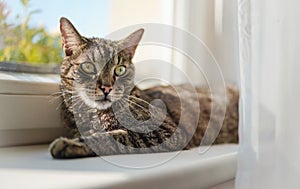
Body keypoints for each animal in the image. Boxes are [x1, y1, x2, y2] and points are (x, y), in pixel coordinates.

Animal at [49, 17, 238, 159]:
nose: (107, 88)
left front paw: (70, 144)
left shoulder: (167, 132)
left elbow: (116, 136)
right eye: (88, 67)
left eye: (120, 69)